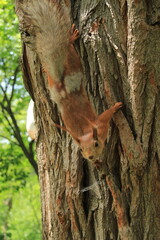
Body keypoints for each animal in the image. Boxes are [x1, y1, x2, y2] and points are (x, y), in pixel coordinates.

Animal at [25, 0, 122, 162]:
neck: (85, 132)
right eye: (81, 149)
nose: (90, 157)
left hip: (72, 62)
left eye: (96, 144)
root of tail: (61, 84)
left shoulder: (101, 125)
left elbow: (106, 114)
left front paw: (116, 106)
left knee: (69, 50)